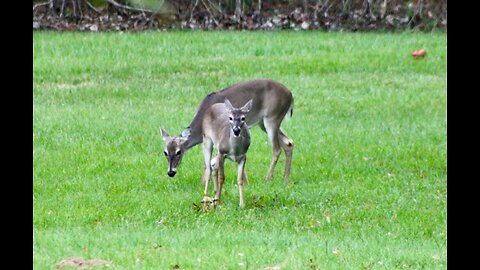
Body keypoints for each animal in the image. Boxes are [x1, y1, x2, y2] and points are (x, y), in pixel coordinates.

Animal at [160, 79, 292, 182]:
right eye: (165, 152)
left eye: (178, 152)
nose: (171, 172)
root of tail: (291, 95)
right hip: (263, 123)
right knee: (289, 142)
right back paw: (285, 179)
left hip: (272, 118)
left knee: (277, 149)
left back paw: (267, 179)